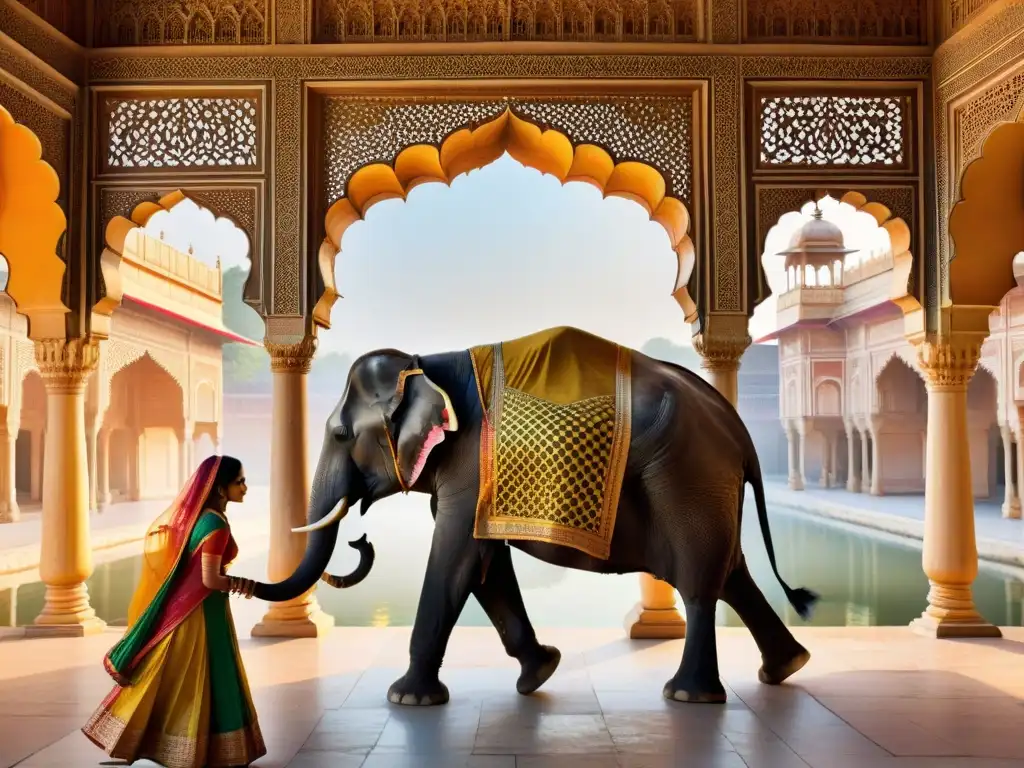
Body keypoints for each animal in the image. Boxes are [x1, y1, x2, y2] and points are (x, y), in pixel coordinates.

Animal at [251, 325, 819, 708]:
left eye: (341, 434)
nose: (360, 542)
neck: (427, 362)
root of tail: (738, 428)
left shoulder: (469, 464)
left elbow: (454, 559)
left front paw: (406, 700)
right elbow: (485, 566)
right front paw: (540, 674)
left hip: (684, 476)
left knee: (702, 583)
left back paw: (687, 696)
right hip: (706, 483)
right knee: (734, 574)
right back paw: (787, 668)